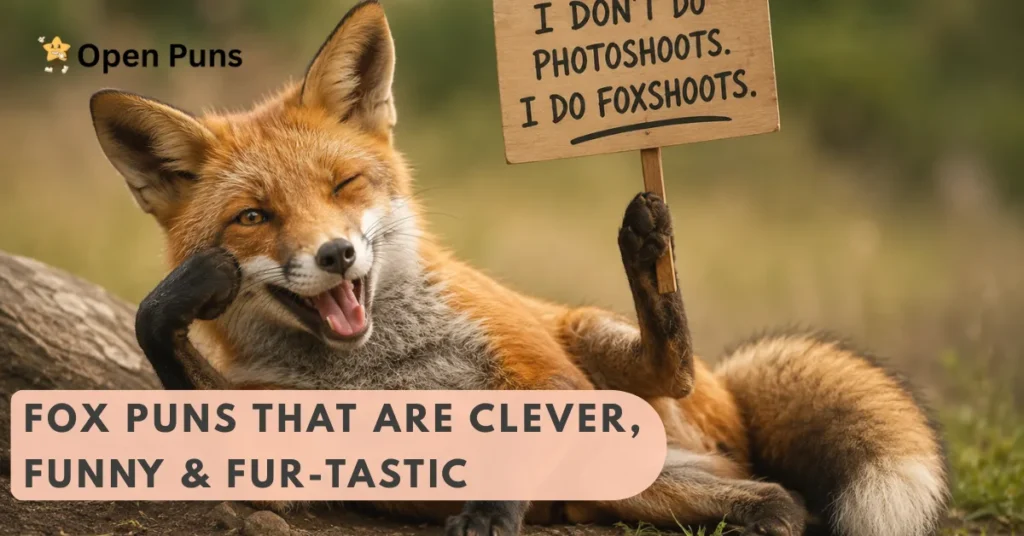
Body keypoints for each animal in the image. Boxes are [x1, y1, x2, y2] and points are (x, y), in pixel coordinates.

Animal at [88, 2, 947, 535]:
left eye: (344, 185)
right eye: (253, 218)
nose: (336, 254)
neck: (380, 365)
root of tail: (732, 405)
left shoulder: (540, 373)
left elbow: (516, 438)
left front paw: (493, 513)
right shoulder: (283, 434)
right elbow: (162, 338)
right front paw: (181, 295)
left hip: (597, 340)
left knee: (675, 370)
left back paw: (649, 251)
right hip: (642, 481)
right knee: (780, 503)